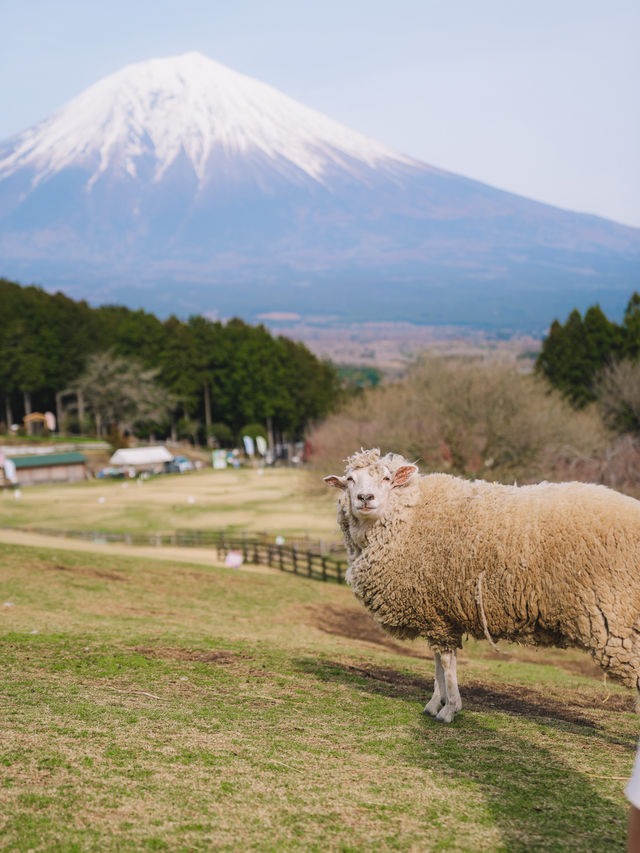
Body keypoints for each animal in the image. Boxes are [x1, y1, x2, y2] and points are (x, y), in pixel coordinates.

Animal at [324, 450, 640, 724]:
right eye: (349, 479)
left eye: (388, 478)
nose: (365, 498)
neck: (409, 518)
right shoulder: (437, 613)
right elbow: (438, 662)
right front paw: (435, 703)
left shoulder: (438, 615)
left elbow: (447, 664)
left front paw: (449, 709)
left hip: (619, 619)